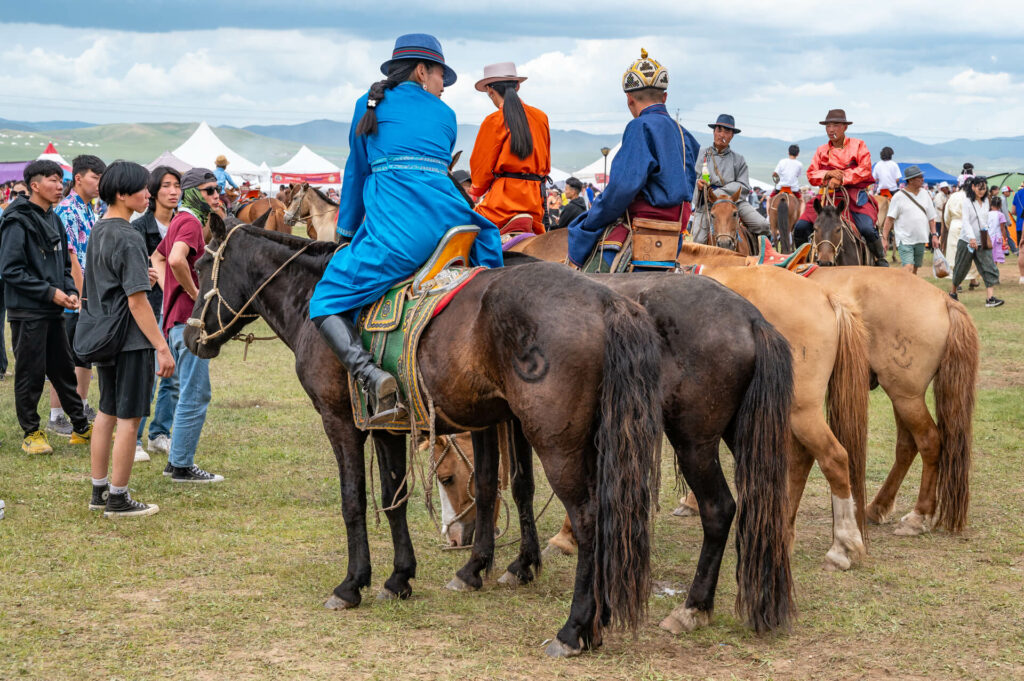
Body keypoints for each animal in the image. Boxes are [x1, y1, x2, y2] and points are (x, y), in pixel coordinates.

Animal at [184, 220, 663, 655]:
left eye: (203, 265)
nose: (189, 336)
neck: (311, 299)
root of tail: (606, 301)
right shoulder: (386, 426)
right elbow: (396, 496)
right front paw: (400, 578)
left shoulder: (340, 422)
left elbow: (354, 499)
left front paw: (352, 584)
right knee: (607, 515)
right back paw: (596, 618)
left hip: (557, 445)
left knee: (588, 520)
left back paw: (574, 628)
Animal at [675, 241, 978, 532]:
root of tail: (944, 300)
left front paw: (692, 501)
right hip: (901, 393)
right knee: (907, 445)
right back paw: (877, 507)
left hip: (905, 394)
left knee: (929, 441)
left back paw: (918, 515)